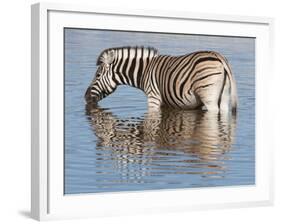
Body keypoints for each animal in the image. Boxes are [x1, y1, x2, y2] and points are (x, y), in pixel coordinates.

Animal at [85, 46, 236, 113]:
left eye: (97, 76)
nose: (85, 97)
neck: (144, 71)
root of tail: (219, 57)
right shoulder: (165, 102)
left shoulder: (153, 97)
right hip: (224, 96)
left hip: (208, 96)